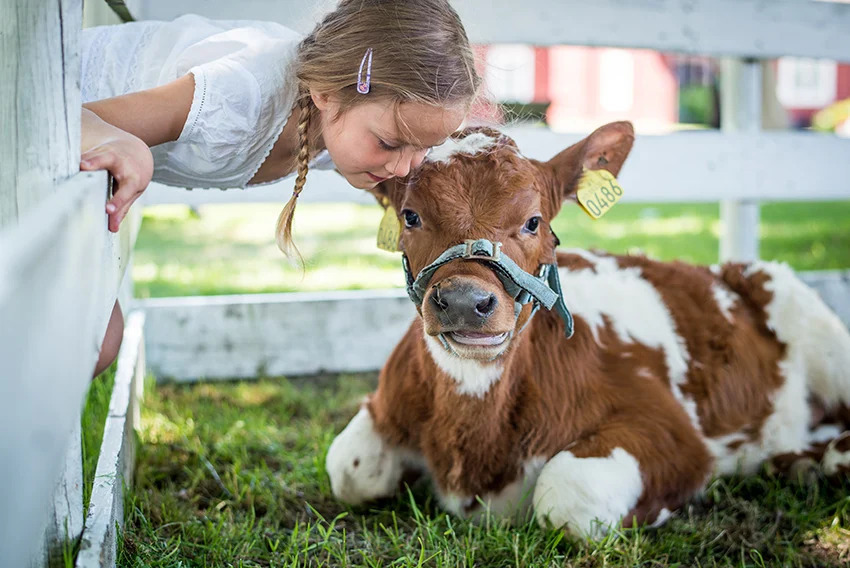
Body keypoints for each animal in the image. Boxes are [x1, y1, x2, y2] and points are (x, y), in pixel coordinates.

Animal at [322, 123, 848, 536]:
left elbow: (566, 496)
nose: (465, 302)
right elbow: (349, 468)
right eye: (410, 216)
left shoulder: (672, 431)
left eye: (533, 221)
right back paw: (801, 461)